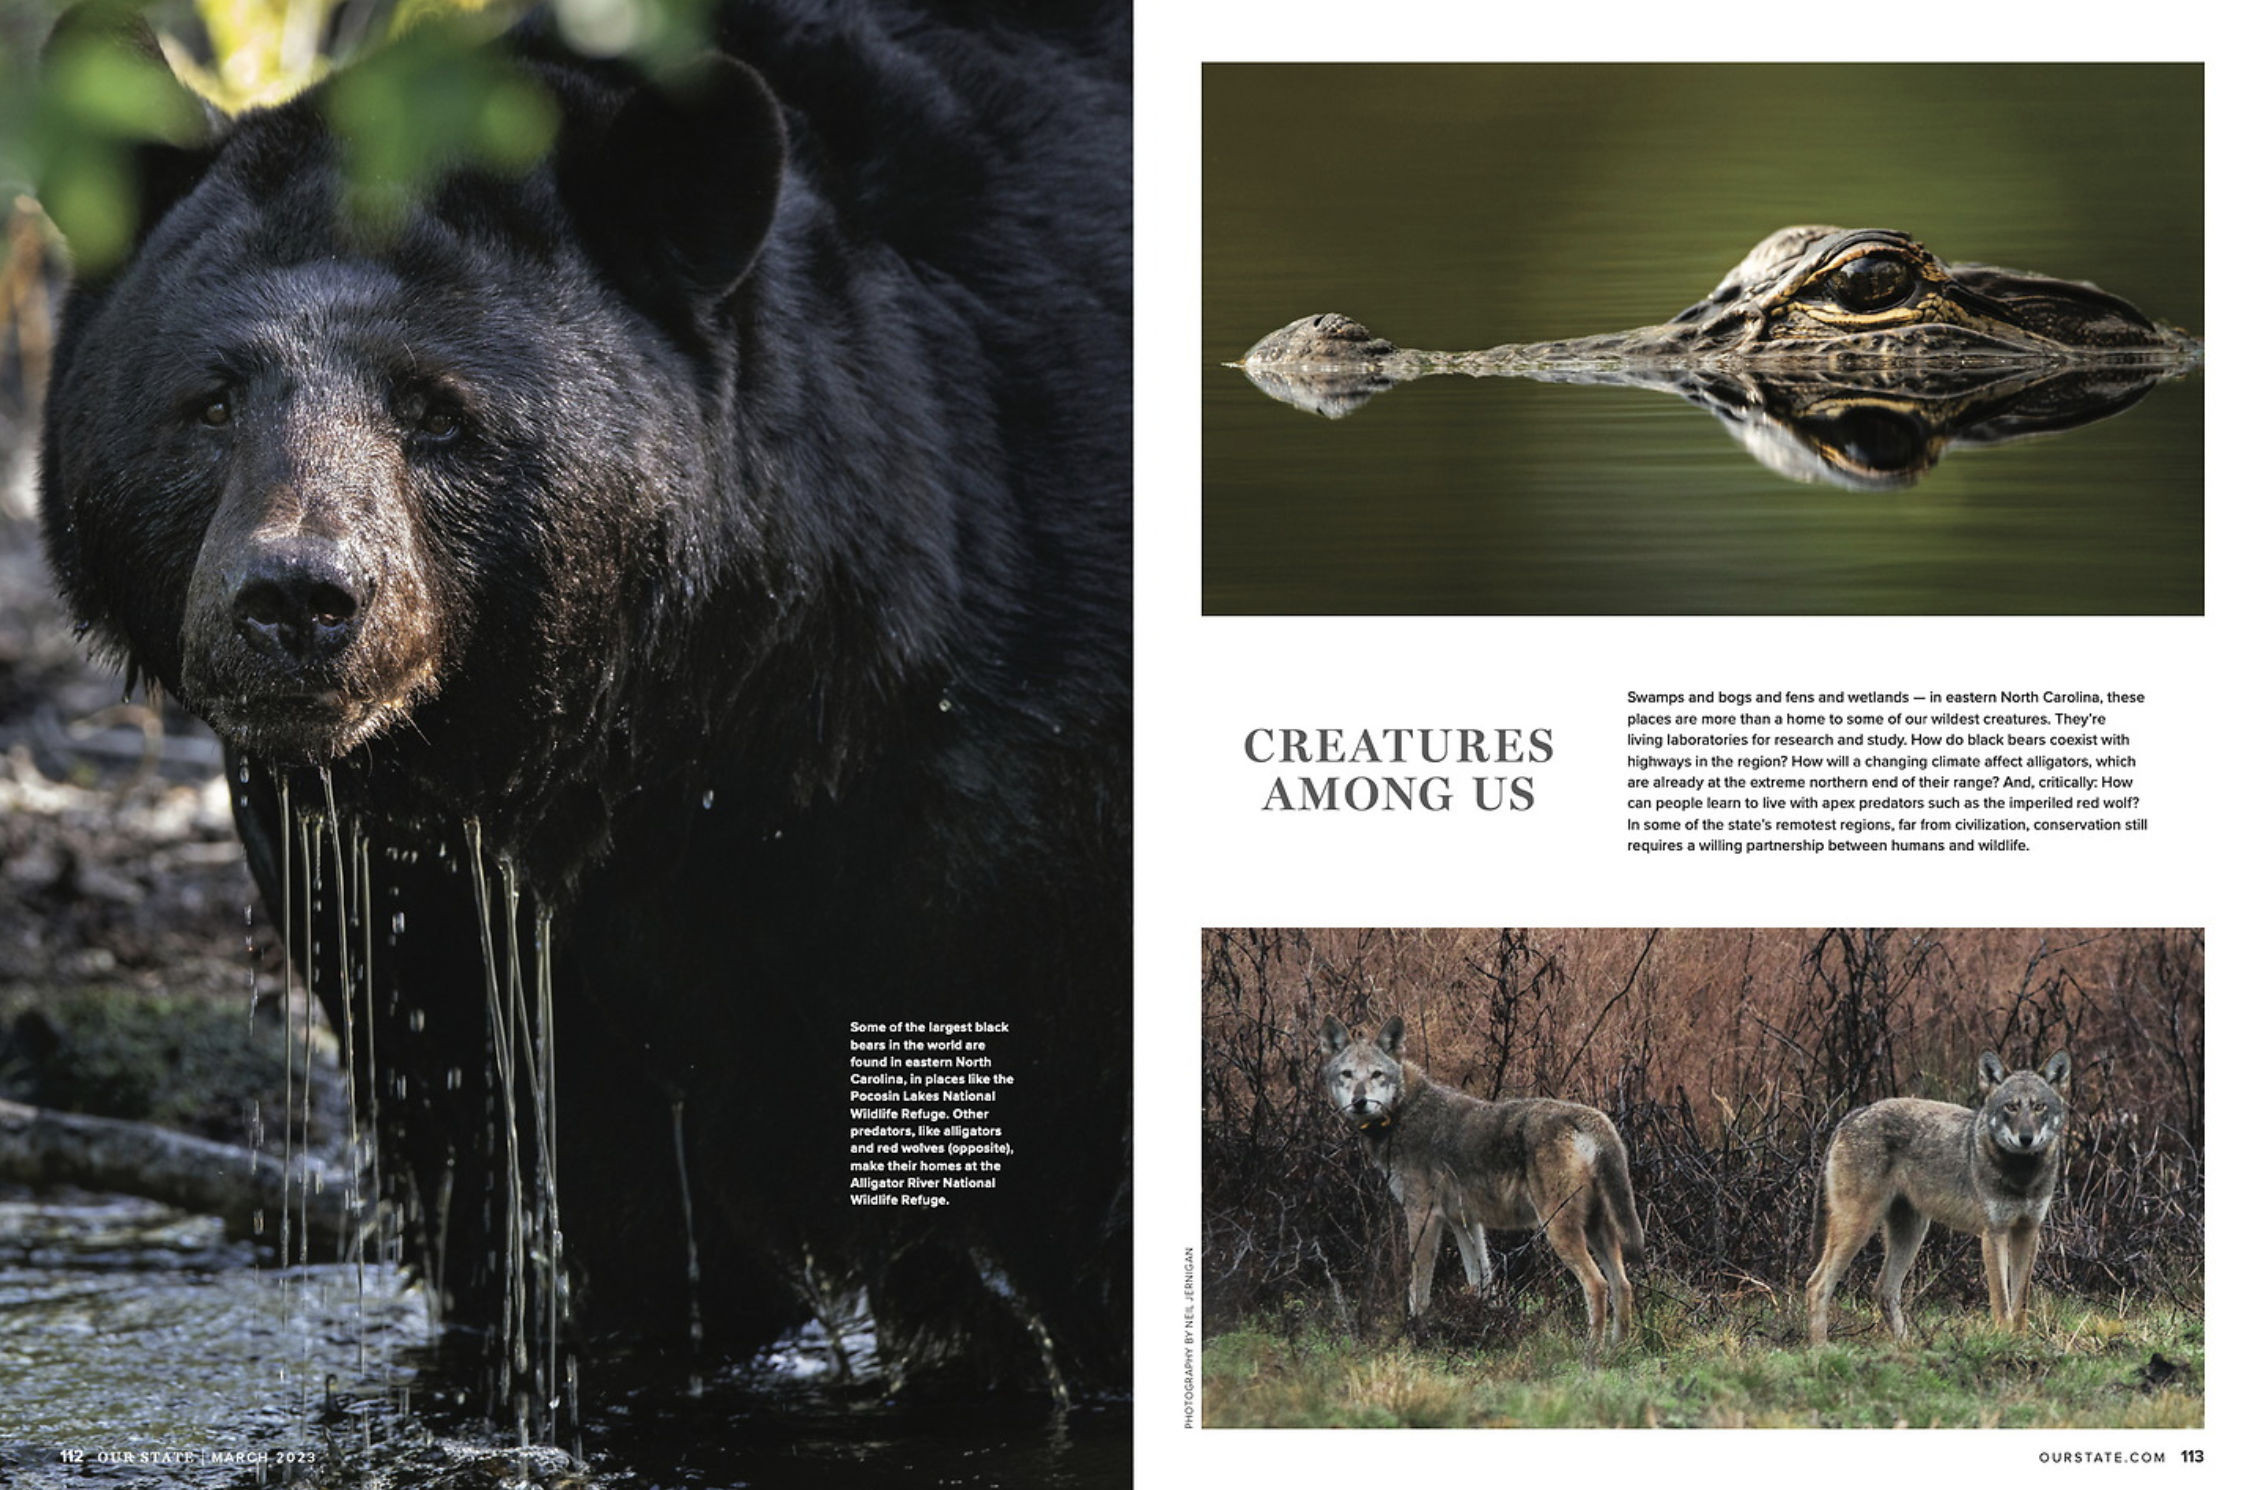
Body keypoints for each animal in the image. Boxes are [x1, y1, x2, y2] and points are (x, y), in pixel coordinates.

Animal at [37, 0, 1129, 1405]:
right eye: (212, 400)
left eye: (435, 408)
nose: (297, 599)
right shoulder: (413, 904)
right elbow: (558, 1207)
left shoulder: (1014, 803)